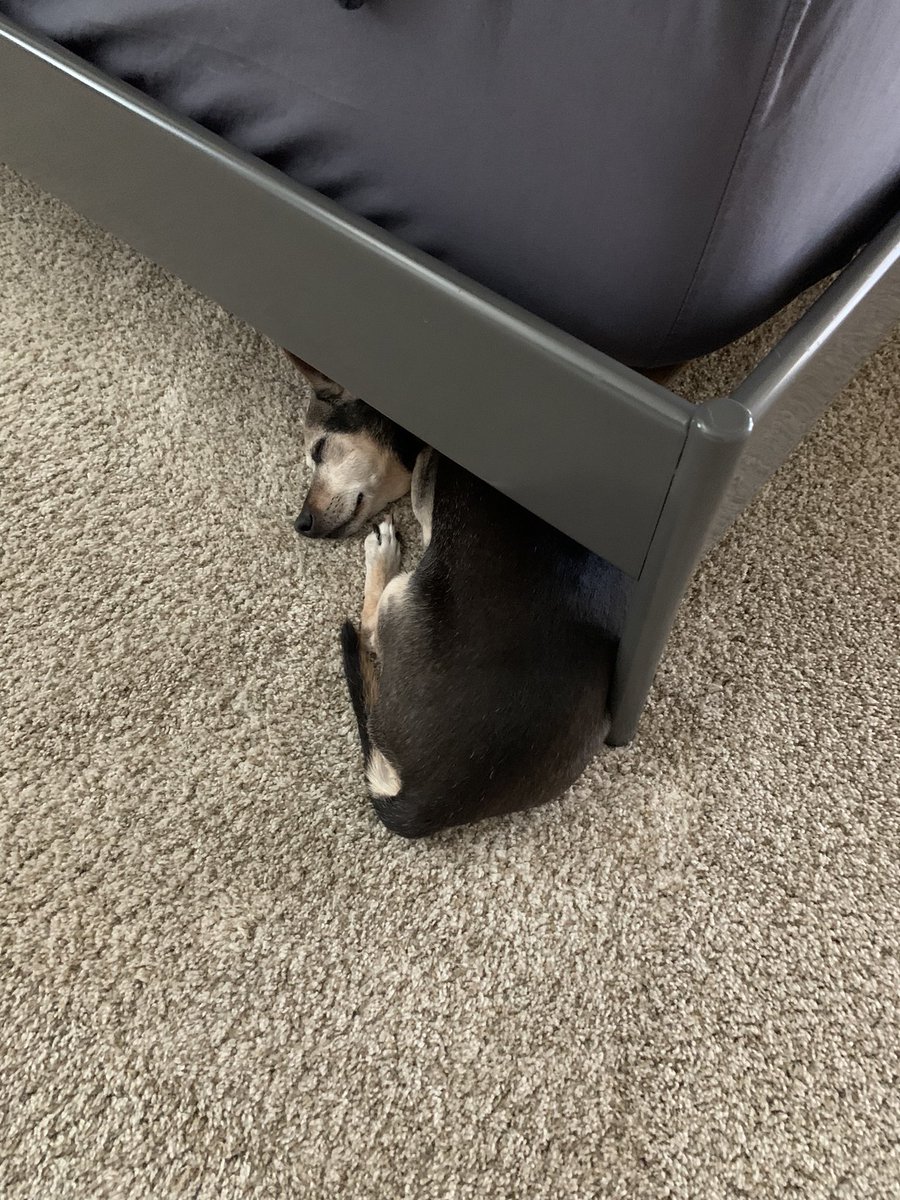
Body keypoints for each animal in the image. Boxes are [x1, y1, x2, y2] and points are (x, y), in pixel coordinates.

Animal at [290, 352, 628, 835]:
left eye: (319, 451)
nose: (299, 523)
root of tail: (425, 800)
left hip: (402, 596)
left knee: (371, 629)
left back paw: (381, 555)